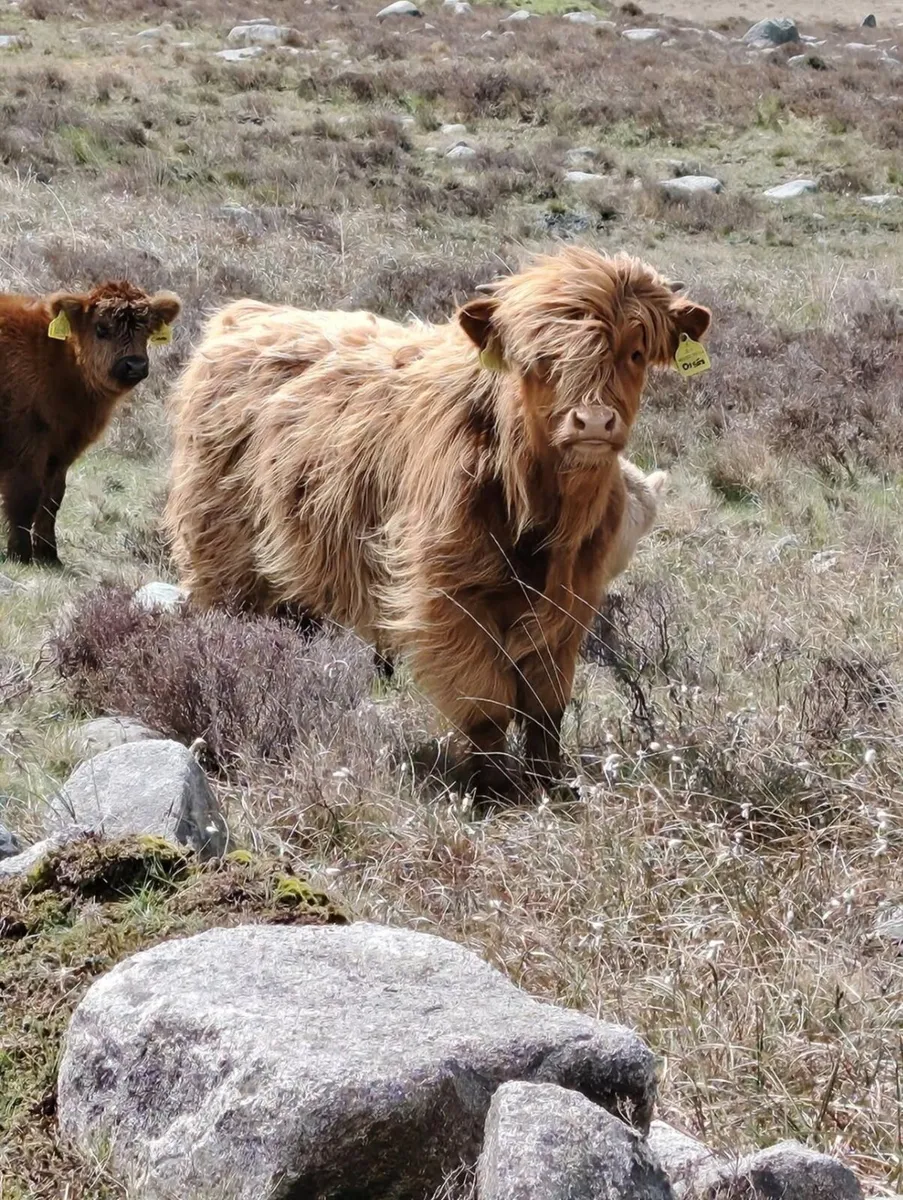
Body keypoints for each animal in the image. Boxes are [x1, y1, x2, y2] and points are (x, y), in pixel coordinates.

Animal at [0, 280, 181, 566]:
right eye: (101, 328)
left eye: (146, 329)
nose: (134, 365)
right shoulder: (28, 450)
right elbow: (25, 499)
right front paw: (21, 555)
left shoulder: (61, 453)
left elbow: (51, 501)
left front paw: (49, 555)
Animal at [165, 246, 710, 798]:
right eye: (538, 361)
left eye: (635, 353)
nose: (593, 422)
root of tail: (247, 315)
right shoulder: (449, 596)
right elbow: (487, 702)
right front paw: (496, 791)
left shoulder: (573, 600)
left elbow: (546, 703)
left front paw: (551, 783)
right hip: (223, 551)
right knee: (231, 621)